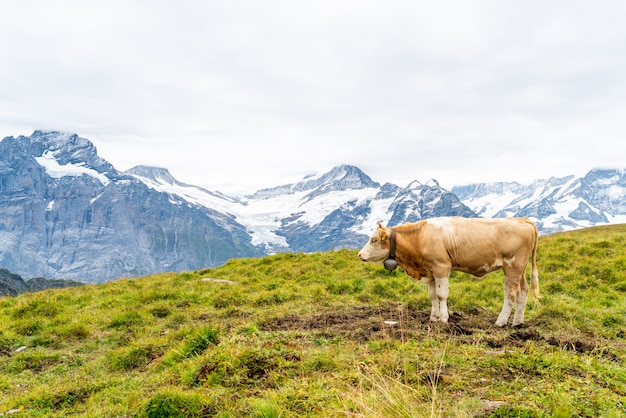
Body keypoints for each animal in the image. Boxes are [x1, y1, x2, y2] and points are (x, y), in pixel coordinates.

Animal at [358, 217, 540, 328]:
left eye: (374, 240)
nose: (360, 254)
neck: (420, 236)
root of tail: (522, 220)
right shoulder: (431, 271)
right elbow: (432, 295)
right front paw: (433, 317)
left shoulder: (442, 267)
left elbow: (441, 295)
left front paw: (443, 318)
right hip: (520, 269)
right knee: (523, 291)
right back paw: (517, 322)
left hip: (512, 267)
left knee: (511, 294)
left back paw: (500, 322)